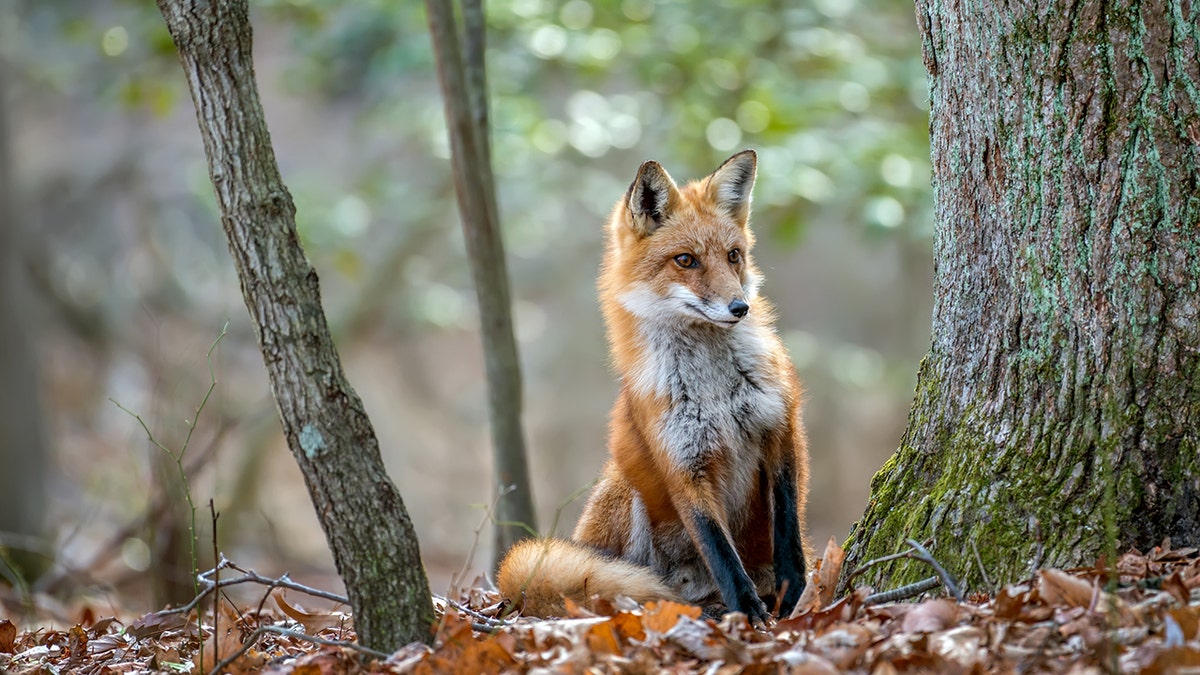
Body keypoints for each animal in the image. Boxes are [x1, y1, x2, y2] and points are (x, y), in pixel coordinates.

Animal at [496, 149, 816, 624]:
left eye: (733, 256)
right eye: (686, 260)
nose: (740, 307)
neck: (715, 389)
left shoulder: (781, 430)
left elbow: (789, 528)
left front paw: (789, 591)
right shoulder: (682, 462)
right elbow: (719, 548)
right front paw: (749, 612)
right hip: (626, 484)